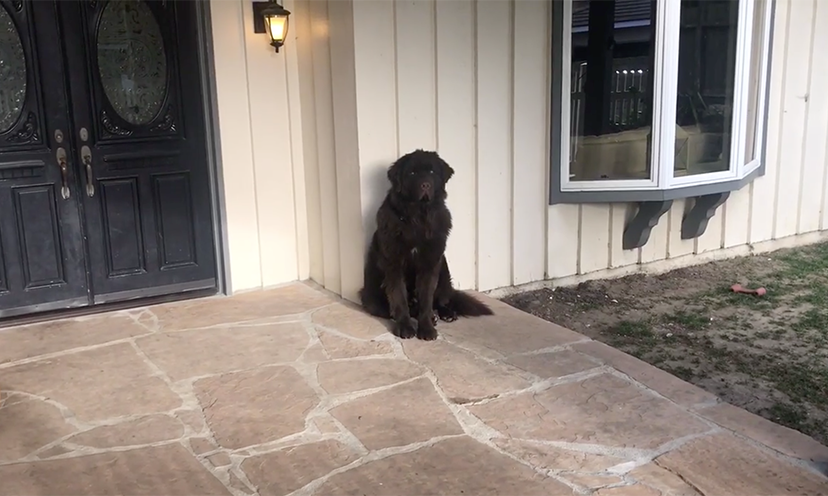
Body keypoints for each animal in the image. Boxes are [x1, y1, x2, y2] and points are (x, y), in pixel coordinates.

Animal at [359, 149, 493, 340]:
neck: (418, 218)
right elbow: (399, 298)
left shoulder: (430, 263)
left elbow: (427, 299)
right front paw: (405, 328)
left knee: (441, 299)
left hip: (443, 267)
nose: (425, 185)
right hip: (371, 296)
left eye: (431, 172)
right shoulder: (394, 265)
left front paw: (427, 329)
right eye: (412, 173)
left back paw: (444, 314)